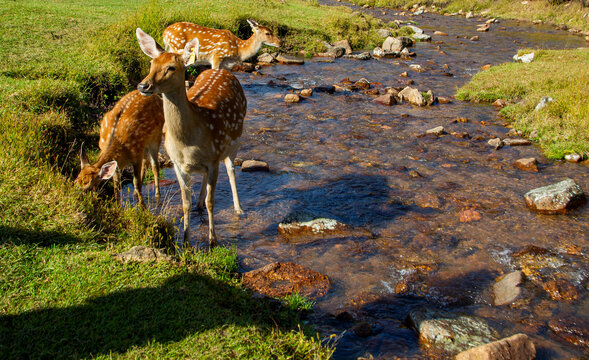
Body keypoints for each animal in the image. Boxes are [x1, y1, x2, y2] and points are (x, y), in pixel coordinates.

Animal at [136, 26, 246, 249]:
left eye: (171, 68)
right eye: (151, 63)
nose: (143, 86)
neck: (187, 143)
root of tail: (222, 70)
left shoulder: (214, 159)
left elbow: (212, 202)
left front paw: (212, 240)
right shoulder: (178, 164)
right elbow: (185, 202)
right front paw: (186, 239)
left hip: (234, 143)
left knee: (231, 170)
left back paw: (238, 209)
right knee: (204, 181)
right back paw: (199, 204)